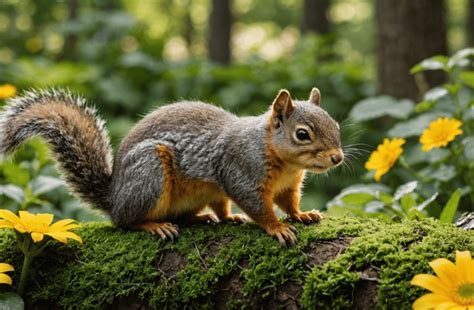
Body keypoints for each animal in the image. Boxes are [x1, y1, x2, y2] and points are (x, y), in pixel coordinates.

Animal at [0, 88, 342, 247]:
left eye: (336, 125)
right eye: (302, 134)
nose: (338, 157)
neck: (286, 163)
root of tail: (114, 197)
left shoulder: (288, 185)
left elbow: (288, 202)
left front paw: (302, 215)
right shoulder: (242, 171)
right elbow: (259, 206)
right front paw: (277, 227)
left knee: (210, 208)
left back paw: (215, 218)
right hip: (149, 173)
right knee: (125, 221)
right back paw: (153, 225)